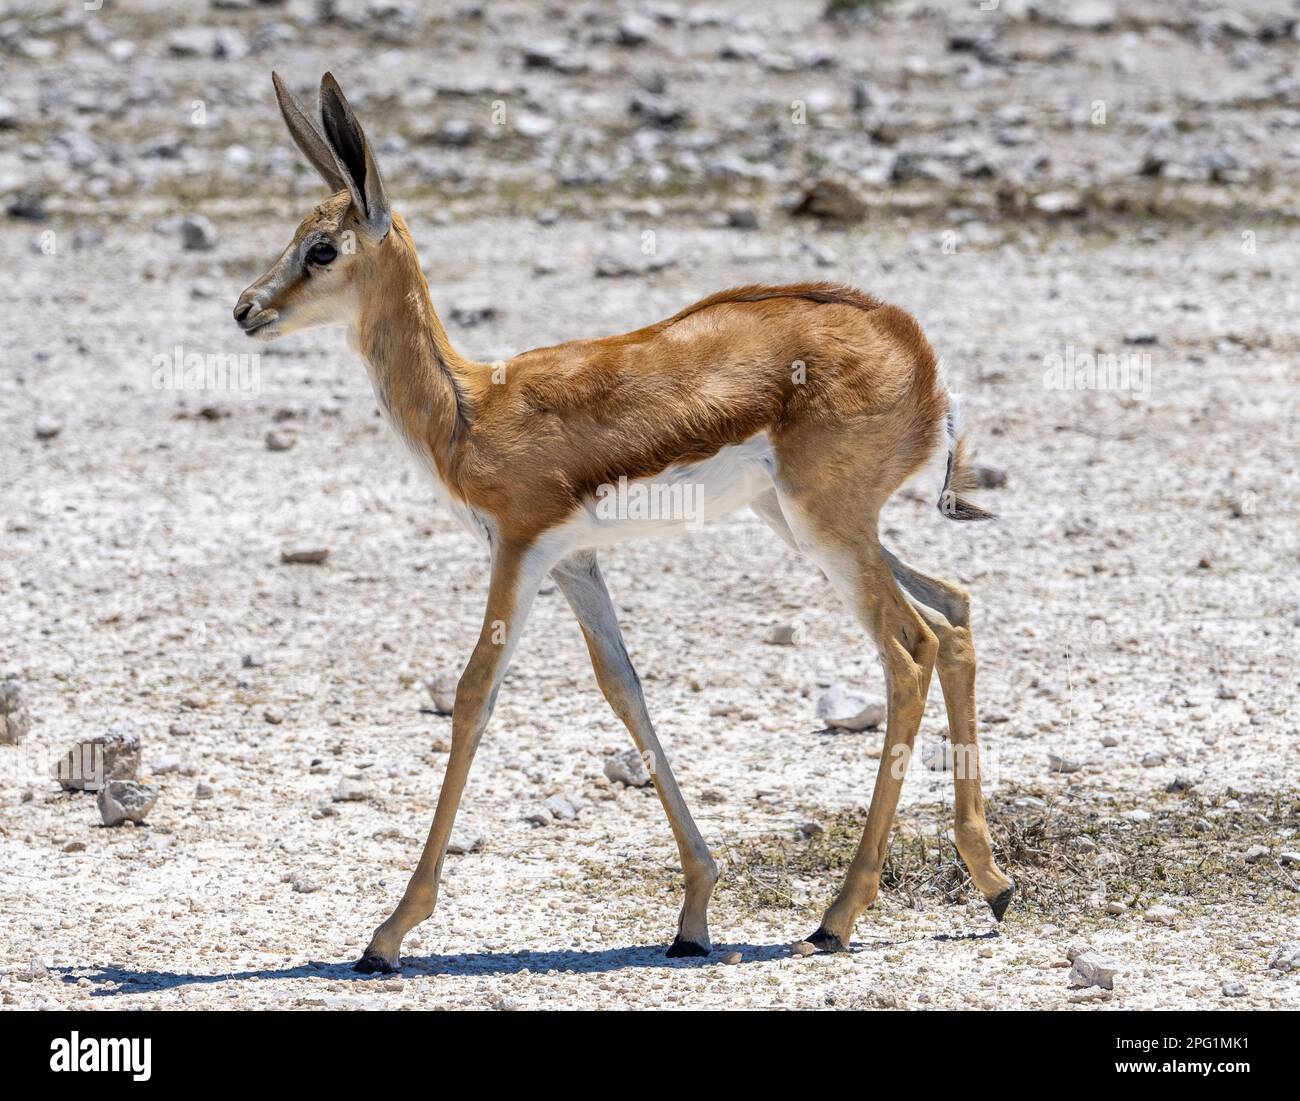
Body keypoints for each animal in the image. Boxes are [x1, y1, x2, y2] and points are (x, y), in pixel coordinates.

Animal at [236, 75, 1013, 972]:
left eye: (322, 248)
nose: (245, 309)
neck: (470, 410)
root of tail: (917, 352)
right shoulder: (575, 563)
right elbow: (624, 689)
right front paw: (694, 914)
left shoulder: (519, 551)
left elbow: (473, 696)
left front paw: (388, 932)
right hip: (808, 524)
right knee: (952, 610)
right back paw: (992, 881)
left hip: (828, 530)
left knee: (910, 648)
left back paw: (837, 916)